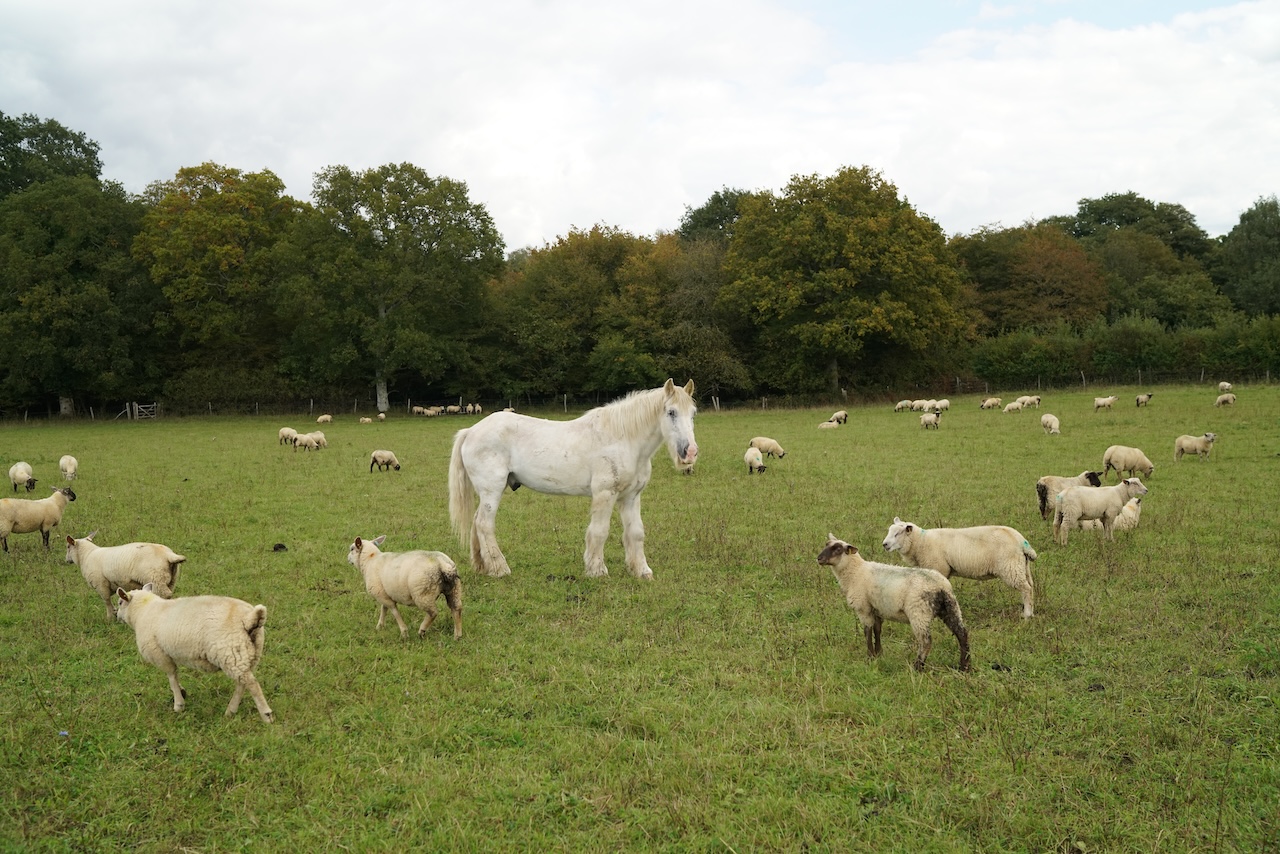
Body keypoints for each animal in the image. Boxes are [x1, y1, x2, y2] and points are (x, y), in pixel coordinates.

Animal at [115, 583, 274, 723]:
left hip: (231, 653)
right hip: (249, 654)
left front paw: (179, 704)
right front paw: (182, 693)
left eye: (120, 602)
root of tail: (250, 617)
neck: (143, 611)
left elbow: (172, 677)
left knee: (251, 684)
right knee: (242, 683)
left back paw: (266, 715)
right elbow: (174, 677)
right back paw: (231, 711)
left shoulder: (160, 654)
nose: (116, 616)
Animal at [817, 535, 970, 672]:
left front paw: (870, 657)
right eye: (826, 544)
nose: (819, 558)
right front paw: (878, 654)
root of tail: (940, 586)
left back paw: (917, 667)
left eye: (838, 549)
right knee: (962, 634)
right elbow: (877, 630)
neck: (855, 572)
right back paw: (964, 666)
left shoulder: (864, 608)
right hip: (951, 607)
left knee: (926, 641)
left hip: (919, 612)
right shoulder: (877, 609)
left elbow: (867, 632)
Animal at [881, 517, 1037, 619]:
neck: (920, 542)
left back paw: (1027, 614)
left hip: (1010, 567)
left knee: (1026, 588)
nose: (885, 544)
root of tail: (1021, 541)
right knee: (1030, 586)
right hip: (1022, 566)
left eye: (897, 533)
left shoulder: (939, 568)